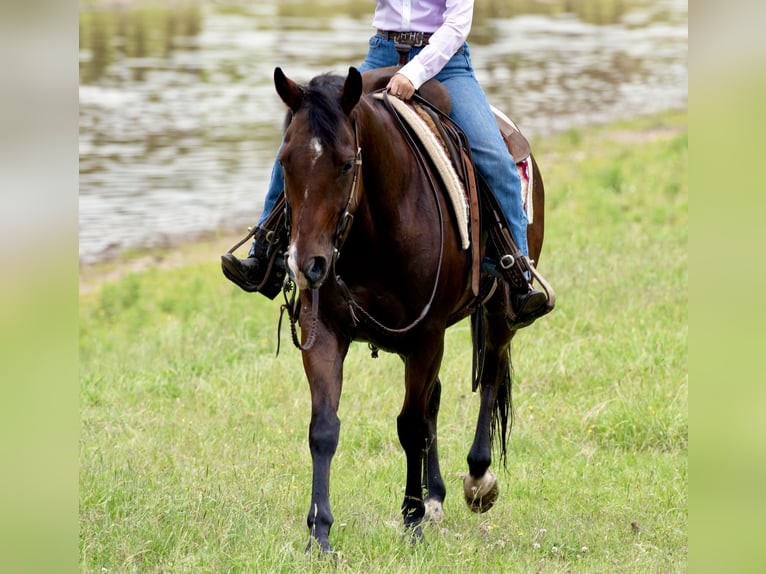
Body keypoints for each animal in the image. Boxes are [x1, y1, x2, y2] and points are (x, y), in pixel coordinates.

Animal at [270, 65, 547, 552]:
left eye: (346, 163)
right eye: (285, 161)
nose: (306, 265)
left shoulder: (426, 335)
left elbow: (410, 426)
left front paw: (412, 518)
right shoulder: (325, 331)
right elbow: (324, 428)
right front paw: (319, 534)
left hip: (500, 313)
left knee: (490, 377)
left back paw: (477, 480)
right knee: (434, 398)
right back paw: (435, 496)